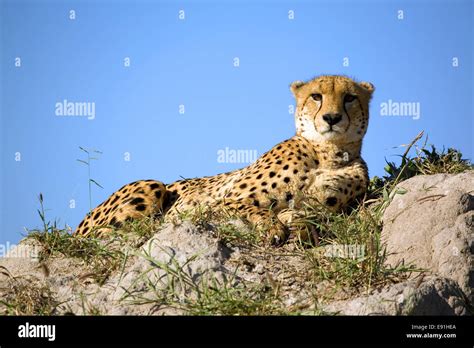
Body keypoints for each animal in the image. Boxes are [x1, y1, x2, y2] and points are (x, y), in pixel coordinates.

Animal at [74, 75, 374, 245]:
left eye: (350, 97)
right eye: (316, 96)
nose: (332, 118)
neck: (326, 152)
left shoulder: (319, 205)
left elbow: (302, 214)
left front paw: (300, 230)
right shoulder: (213, 204)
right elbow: (252, 207)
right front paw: (272, 228)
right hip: (151, 186)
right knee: (93, 236)